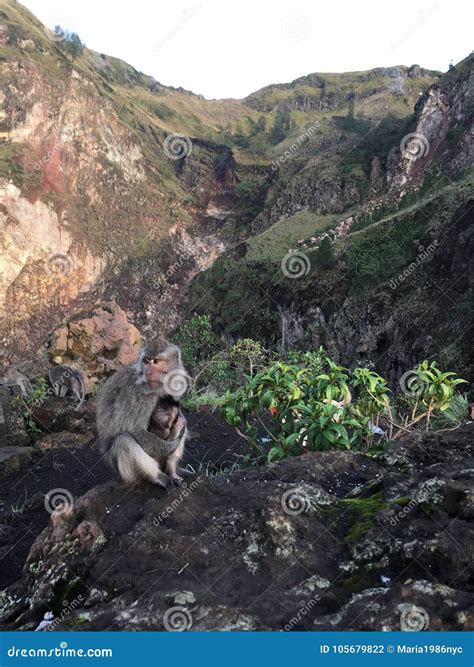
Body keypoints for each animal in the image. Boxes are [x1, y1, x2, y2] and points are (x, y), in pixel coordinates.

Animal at [96, 342, 189, 488]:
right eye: (146, 361)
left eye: (156, 361)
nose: (148, 372)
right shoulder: (136, 393)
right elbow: (134, 430)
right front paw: (173, 444)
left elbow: (179, 418)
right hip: (124, 472)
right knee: (124, 439)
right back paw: (158, 476)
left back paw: (171, 470)